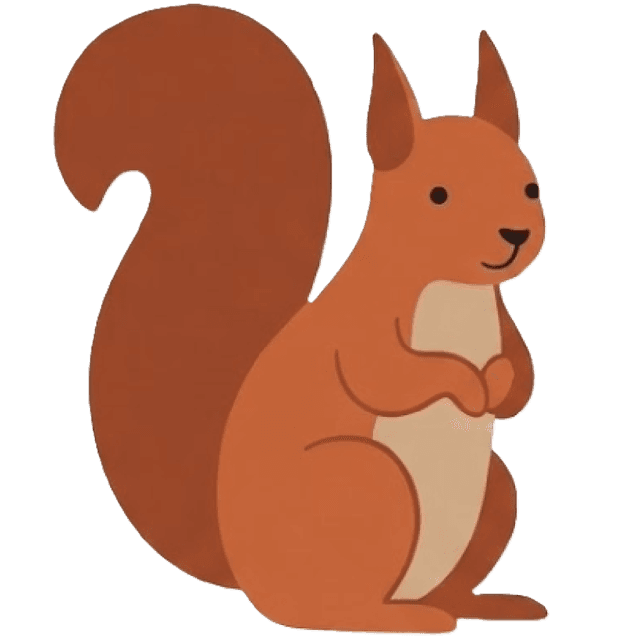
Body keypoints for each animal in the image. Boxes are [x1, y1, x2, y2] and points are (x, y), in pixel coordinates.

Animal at [54, 5, 548, 634]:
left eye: (531, 187)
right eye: (437, 194)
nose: (516, 235)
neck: (456, 291)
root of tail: (245, 576)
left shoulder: (503, 322)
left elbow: (524, 375)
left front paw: (501, 383)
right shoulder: (362, 330)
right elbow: (388, 375)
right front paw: (469, 384)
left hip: (492, 491)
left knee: (446, 581)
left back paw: (483, 604)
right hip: (366, 482)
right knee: (315, 608)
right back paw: (402, 617)